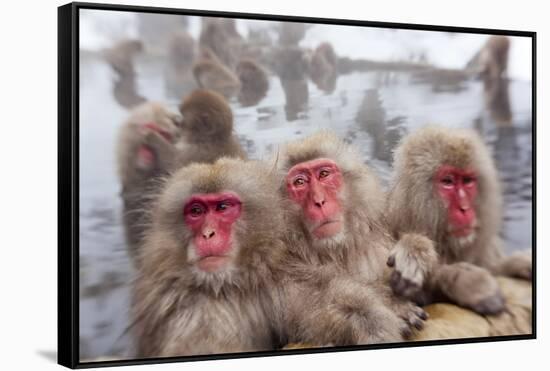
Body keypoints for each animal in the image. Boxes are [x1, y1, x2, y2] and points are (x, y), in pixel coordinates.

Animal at [278, 132, 430, 348]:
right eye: (300, 182)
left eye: (324, 174)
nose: (319, 201)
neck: (337, 248)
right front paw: (392, 306)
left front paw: (412, 254)